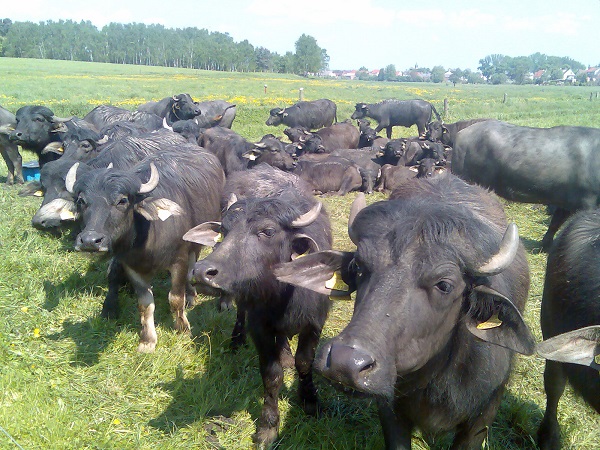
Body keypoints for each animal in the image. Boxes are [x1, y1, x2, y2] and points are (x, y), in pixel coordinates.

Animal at [66, 149, 225, 354]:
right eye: (81, 201)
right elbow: (145, 304)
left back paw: (191, 295)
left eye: (122, 200)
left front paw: (182, 329)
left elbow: (175, 298)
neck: (147, 243)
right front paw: (147, 340)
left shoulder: (179, 260)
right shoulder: (131, 267)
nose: (90, 241)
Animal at [184, 165, 332, 446]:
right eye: (223, 230)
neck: (284, 296)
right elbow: (272, 375)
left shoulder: (314, 323)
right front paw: (268, 426)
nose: (201, 272)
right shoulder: (260, 328)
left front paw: (310, 401)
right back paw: (237, 340)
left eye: (267, 231)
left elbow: (304, 363)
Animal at [276, 175, 536, 450]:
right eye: (358, 266)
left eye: (444, 285)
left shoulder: (482, 419)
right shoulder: (390, 410)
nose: (344, 362)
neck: (436, 379)